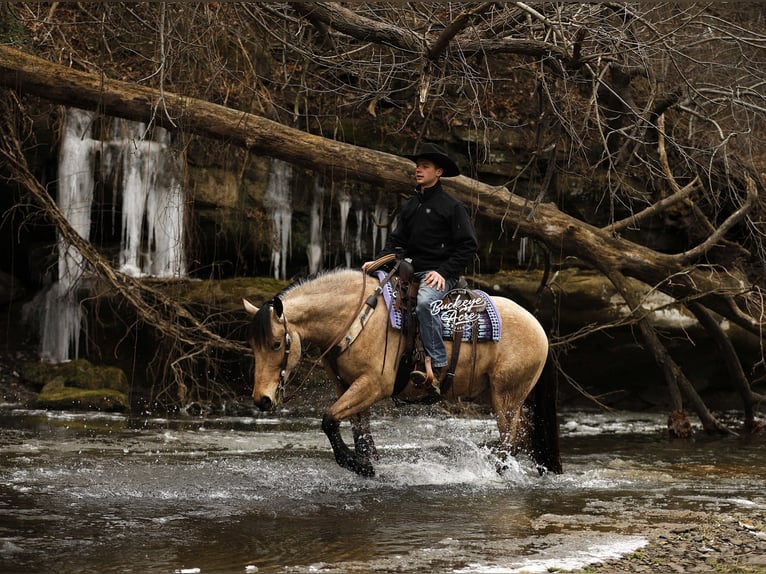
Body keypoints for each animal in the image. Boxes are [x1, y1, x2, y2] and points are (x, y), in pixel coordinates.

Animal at [243, 268, 560, 477]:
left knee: (510, 441)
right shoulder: (348, 385)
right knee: (525, 437)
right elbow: (360, 432)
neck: (355, 317)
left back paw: (496, 472)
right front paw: (367, 462)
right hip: (497, 395)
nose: (262, 399)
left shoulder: (373, 385)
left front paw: (359, 465)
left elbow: (329, 420)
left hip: (507, 397)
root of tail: (538, 326)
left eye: (275, 344)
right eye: (253, 345)